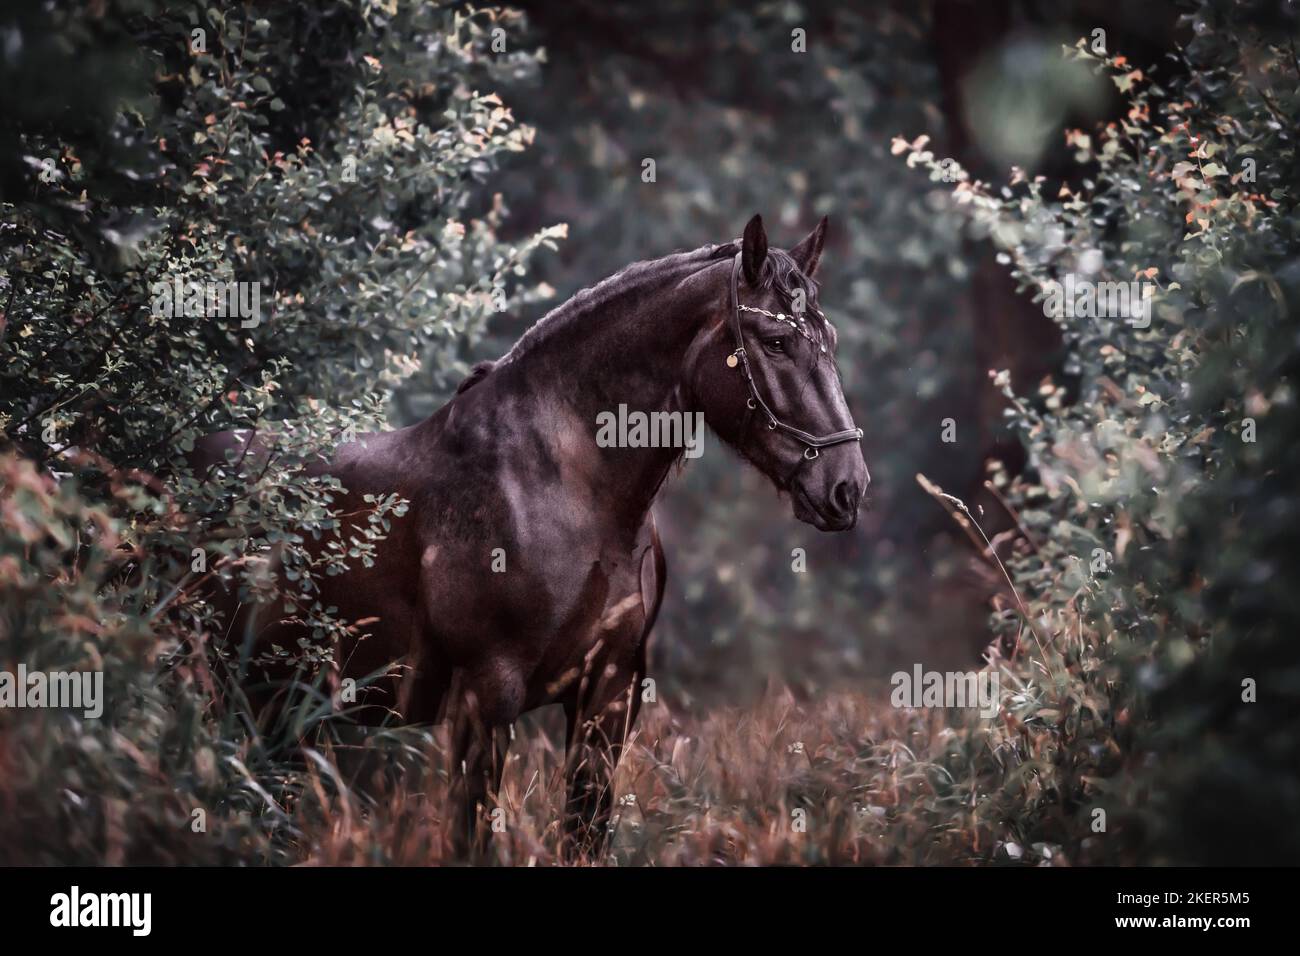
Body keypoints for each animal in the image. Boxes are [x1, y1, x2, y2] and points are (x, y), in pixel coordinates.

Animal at [198, 214, 870, 860]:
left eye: (831, 341)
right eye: (776, 342)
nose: (847, 486)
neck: (563, 486)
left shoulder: (609, 698)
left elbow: (584, 833)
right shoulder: (485, 695)